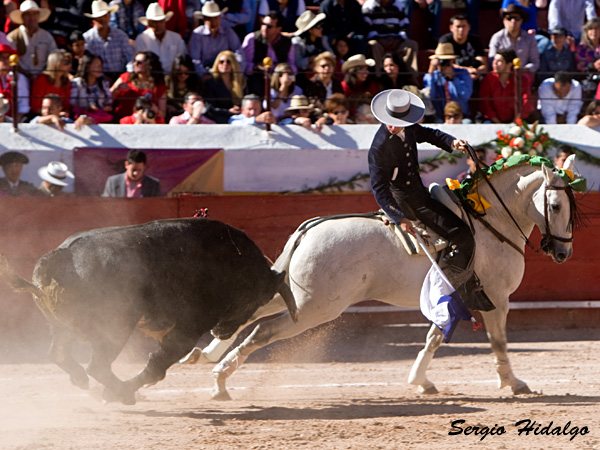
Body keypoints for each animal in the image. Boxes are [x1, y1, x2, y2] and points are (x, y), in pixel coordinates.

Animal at [0, 218, 298, 404]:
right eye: (254, 301)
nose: (221, 332)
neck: (232, 262)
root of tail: (61, 256)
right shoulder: (187, 330)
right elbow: (158, 365)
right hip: (115, 329)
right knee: (97, 365)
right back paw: (121, 393)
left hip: (63, 327)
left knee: (59, 354)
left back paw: (83, 381)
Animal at [185, 156, 580, 400]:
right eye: (555, 206)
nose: (563, 254)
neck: (488, 221)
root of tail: (307, 231)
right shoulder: (497, 299)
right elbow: (498, 342)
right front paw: (514, 383)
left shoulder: (453, 298)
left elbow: (433, 338)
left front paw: (420, 381)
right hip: (316, 308)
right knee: (261, 331)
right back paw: (220, 380)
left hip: (295, 296)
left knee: (246, 314)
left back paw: (203, 357)